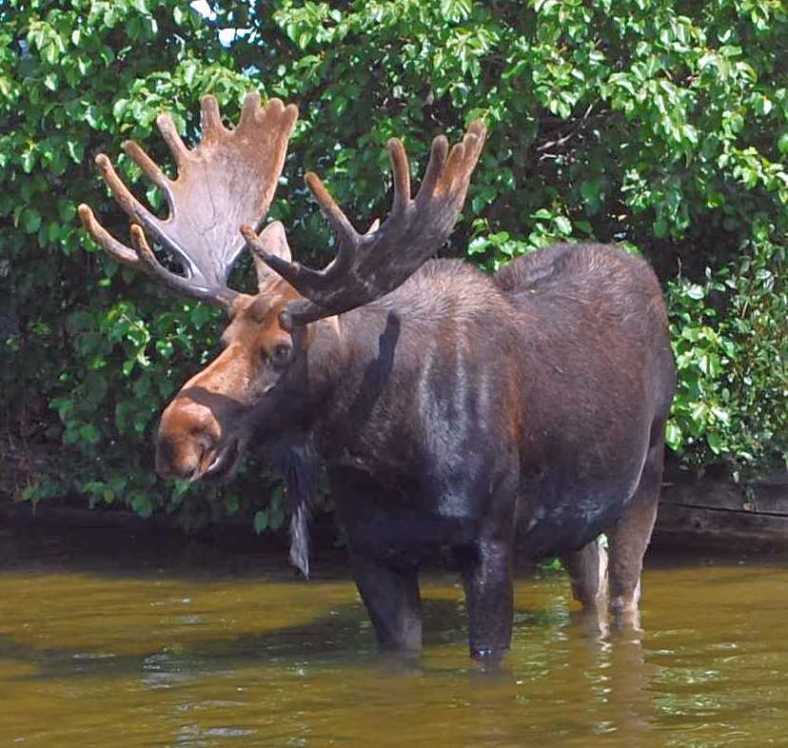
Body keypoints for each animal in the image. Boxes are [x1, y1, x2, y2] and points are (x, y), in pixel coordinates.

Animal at [79, 92, 675, 660]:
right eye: (223, 340)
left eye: (280, 350)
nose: (175, 435)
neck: (384, 446)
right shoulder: (370, 552)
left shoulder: (489, 540)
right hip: (577, 514)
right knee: (591, 586)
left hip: (645, 473)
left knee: (624, 594)